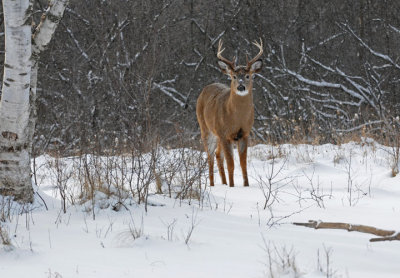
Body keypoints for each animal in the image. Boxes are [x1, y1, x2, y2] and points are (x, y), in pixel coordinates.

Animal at [196, 39, 262, 187]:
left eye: (248, 76)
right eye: (234, 76)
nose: (241, 86)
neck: (236, 118)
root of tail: (205, 89)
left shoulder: (244, 134)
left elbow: (243, 164)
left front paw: (246, 185)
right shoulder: (225, 134)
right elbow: (231, 164)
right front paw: (232, 186)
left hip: (217, 135)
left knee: (218, 155)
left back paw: (224, 183)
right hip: (206, 129)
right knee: (210, 155)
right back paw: (212, 184)